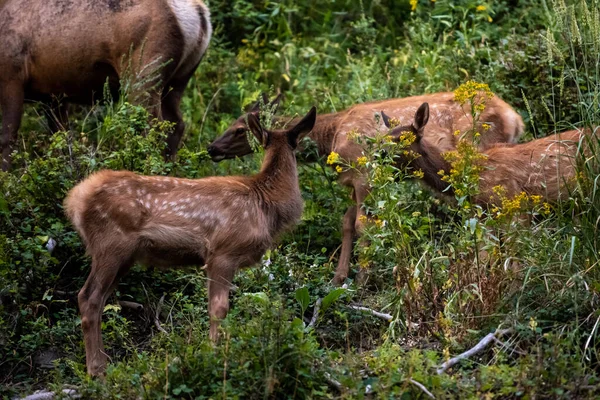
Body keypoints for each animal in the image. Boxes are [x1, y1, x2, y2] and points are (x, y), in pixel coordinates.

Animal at [0, 0, 212, 170]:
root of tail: (201, 15)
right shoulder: (53, 94)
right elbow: (62, 141)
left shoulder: (11, 73)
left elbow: (7, 137)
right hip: (178, 80)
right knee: (176, 124)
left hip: (143, 73)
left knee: (153, 128)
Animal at [64, 105, 318, 376]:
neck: (265, 205)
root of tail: (75, 200)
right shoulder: (222, 252)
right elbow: (219, 309)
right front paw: (214, 355)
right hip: (110, 244)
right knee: (88, 297)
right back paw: (96, 370)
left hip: (125, 256)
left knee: (100, 299)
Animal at [207, 91, 524, 284]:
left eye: (239, 129)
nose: (211, 148)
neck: (332, 135)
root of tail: (515, 118)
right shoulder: (351, 182)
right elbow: (347, 222)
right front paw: (339, 277)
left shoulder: (364, 174)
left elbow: (363, 224)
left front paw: (362, 278)